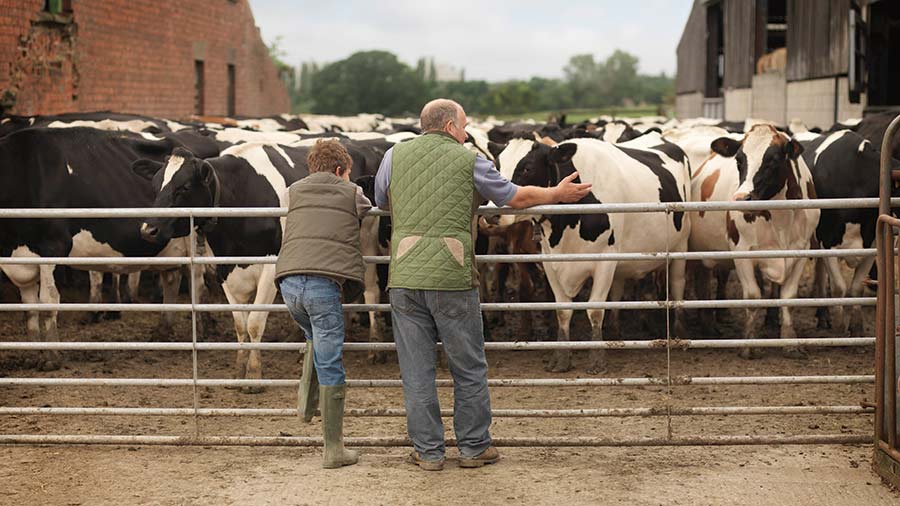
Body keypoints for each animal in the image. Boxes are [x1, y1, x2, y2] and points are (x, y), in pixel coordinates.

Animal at [496, 134, 692, 376]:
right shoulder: (551, 262)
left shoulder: (604, 261)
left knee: (677, 284)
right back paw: (615, 334)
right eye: (497, 165)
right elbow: (563, 311)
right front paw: (561, 359)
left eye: (527, 168)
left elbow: (595, 310)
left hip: (681, 244)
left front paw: (597, 360)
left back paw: (680, 332)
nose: (493, 214)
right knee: (618, 290)